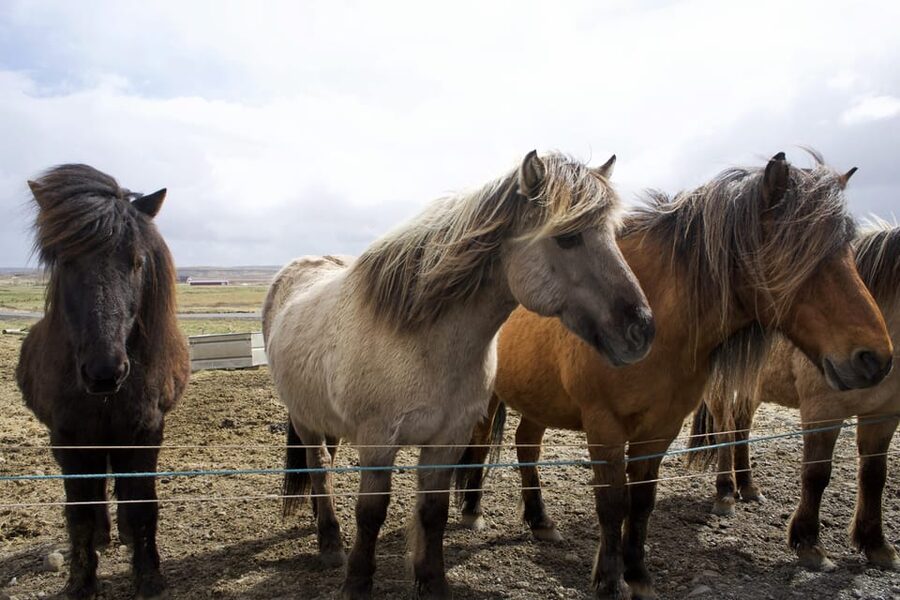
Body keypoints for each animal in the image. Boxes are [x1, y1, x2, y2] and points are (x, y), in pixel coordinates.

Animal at [16, 165, 190, 599]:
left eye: (137, 262)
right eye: (65, 261)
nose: (104, 371)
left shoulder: (144, 434)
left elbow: (142, 507)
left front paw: (148, 577)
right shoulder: (69, 439)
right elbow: (80, 513)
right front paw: (81, 582)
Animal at [263, 151, 655, 599]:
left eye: (612, 235)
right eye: (567, 237)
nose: (641, 330)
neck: (423, 341)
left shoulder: (448, 438)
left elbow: (433, 512)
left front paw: (432, 582)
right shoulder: (379, 442)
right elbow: (371, 514)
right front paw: (357, 584)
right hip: (304, 418)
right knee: (318, 466)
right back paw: (330, 543)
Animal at [688, 222, 900, 571]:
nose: (874, 362)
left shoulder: (883, 416)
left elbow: (874, 476)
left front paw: (876, 544)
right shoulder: (822, 411)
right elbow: (816, 474)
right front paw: (810, 545)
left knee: (741, 429)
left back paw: (748, 486)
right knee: (726, 431)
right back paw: (726, 493)